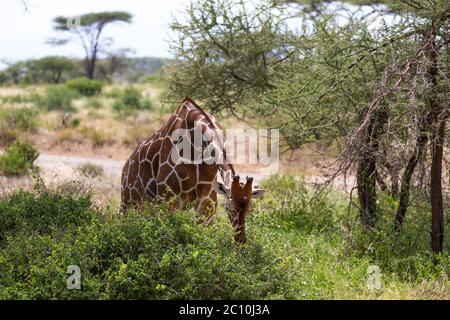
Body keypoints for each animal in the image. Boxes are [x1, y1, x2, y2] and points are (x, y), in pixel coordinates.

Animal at [121, 97, 266, 242]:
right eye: (229, 208)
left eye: (250, 209)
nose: (240, 240)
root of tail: (126, 166)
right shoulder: (170, 199)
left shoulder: (207, 200)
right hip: (129, 201)